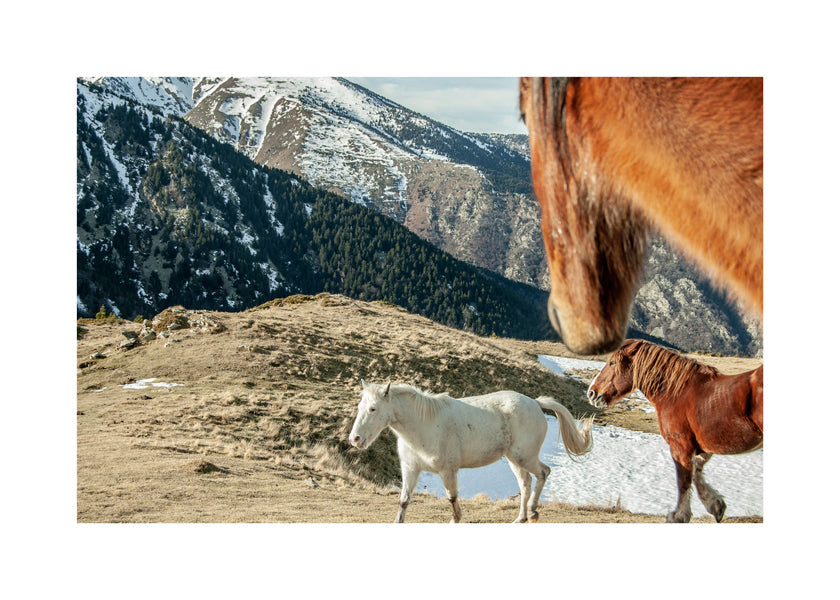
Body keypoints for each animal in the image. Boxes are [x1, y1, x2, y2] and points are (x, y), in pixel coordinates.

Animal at [349, 380, 594, 523]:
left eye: (373, 409)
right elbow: (404, 501)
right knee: (525, 483)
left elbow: (452, 498)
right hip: (514, 459)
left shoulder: (448, 471)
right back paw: (521, 518)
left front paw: (456, 520)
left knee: (543, 473)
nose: (355, 439)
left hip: (525, 456)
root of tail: (535, 402)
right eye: (360, 407)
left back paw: (533, 511)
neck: (425, 424)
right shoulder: (410, 469)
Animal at [586, 339, 763, 522]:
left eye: (612, 363)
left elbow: (684, 480)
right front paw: (716, 505)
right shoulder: (704, 447)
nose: (592, 393)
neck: (676, 393)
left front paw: (679, 515)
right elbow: (696, 474)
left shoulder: (680, 447)